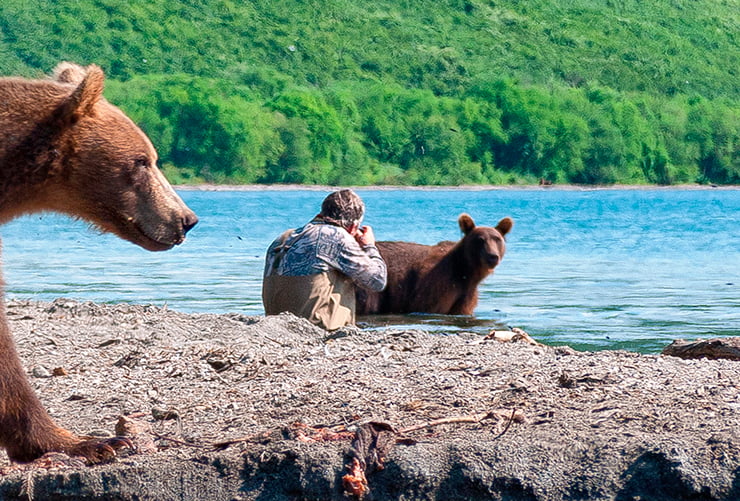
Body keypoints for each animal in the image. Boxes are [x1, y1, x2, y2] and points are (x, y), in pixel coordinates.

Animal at [356, 213, 512, 314]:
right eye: (480, 240)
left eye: (497, 239)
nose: (492, 257)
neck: (465, 271)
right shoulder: (437, 284)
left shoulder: (465, 294)